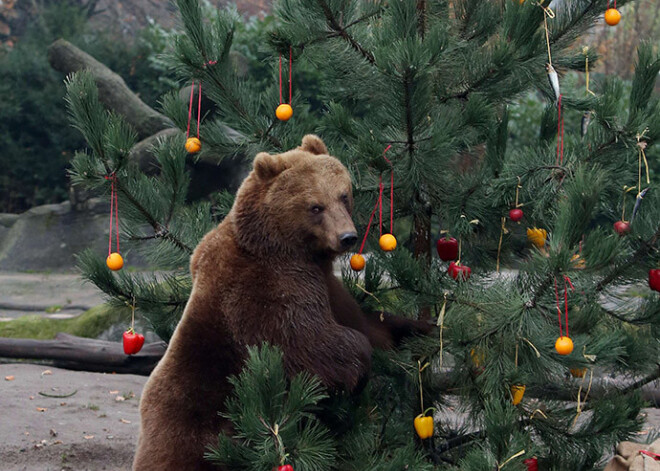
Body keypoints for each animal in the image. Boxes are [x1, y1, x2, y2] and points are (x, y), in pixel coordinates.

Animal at [132, 135, 430, 470]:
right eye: (315, 206)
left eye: (343, 195)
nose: (347, 237)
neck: (289, 247)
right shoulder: (269, 288)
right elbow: (313, 346)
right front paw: (360, 366)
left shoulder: (327, 282)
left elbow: (368, 322)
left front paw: (421, 326)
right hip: (198, 426)